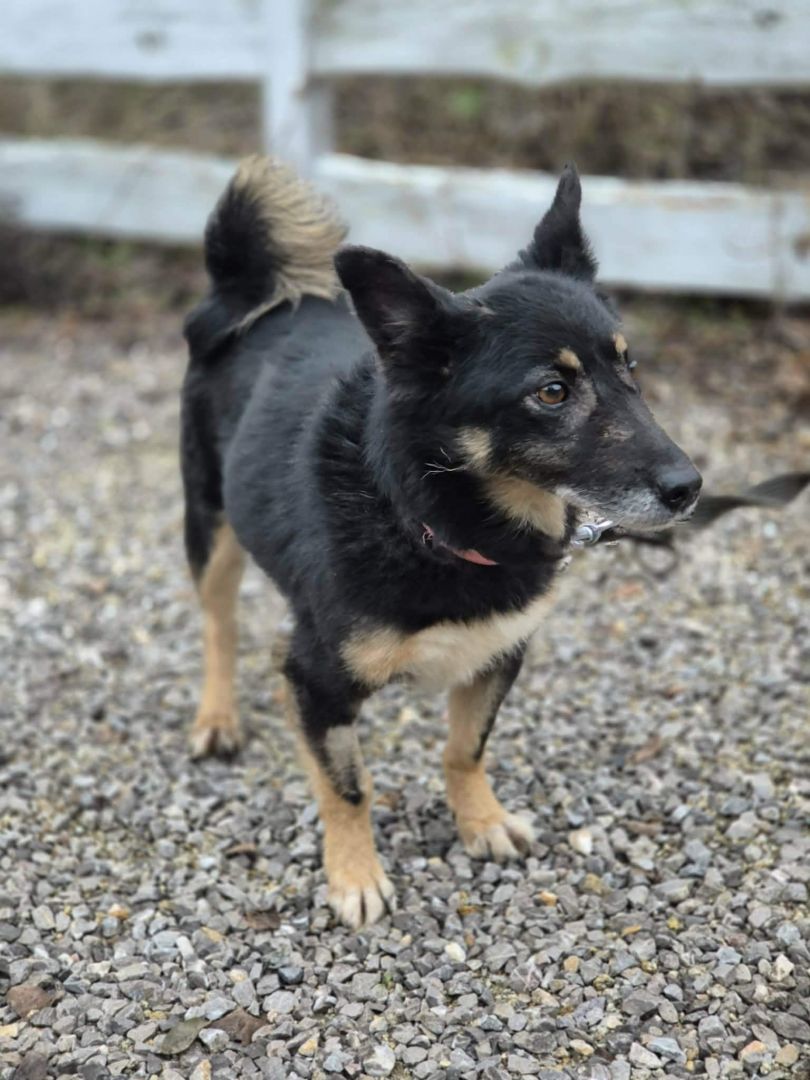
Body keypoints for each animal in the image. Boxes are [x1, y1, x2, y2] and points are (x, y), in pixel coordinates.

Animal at [181, 157, 702, 928]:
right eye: (551, 392)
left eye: (629, 366)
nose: (689, 486)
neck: (431, 522)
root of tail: (253, 295)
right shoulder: (317, 675)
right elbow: (349, 784)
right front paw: (356, 874)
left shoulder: (498, 654)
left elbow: (465, 748)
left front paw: (480, 822)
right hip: (210, 525)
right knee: (218, 622)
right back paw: (217, 716)